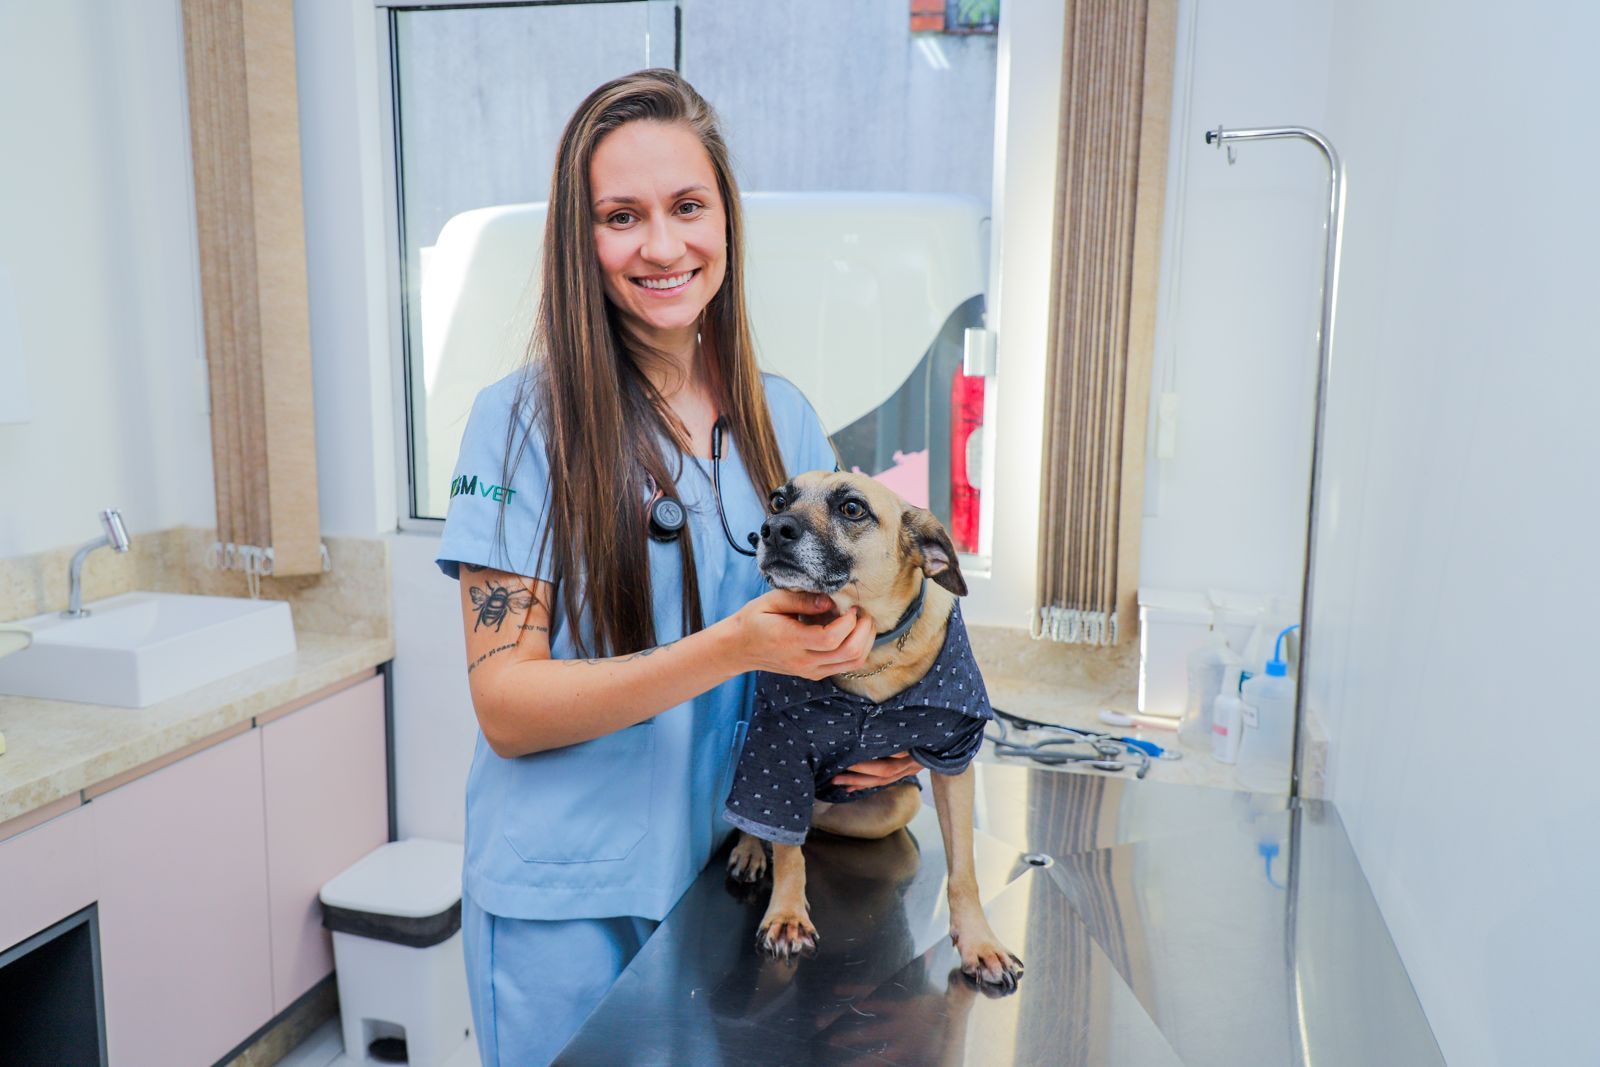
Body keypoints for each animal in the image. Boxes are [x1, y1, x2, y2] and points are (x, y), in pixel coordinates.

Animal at [721, 471, 1024, 991]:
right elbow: (786, 846)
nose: (771, 529)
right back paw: (752, 850)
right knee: (769, 823)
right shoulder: (777, 745)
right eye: (779, 499)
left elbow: (964, 870)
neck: (873, 649)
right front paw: (786, 914)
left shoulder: (954, 757)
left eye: (852, 508)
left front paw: (980, 942)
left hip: (896, 806)